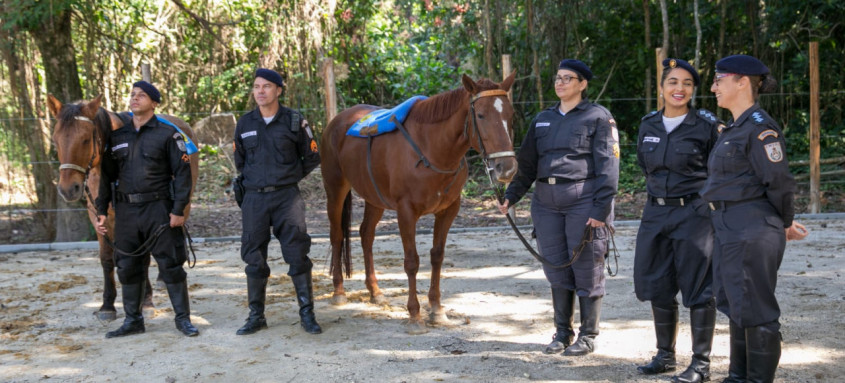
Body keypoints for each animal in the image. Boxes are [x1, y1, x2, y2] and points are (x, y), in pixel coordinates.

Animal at [49, 94, 199, 322]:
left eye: (85, 139)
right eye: (56, 139)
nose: (68, 189)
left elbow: (143, 258)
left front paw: (146, 302)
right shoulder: (98, 217)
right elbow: (106, 259)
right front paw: (107, 305)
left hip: (184, 204)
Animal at [322, 73, 516, 334]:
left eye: (510, 114)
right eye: (481, 115)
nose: (507, 168)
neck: (432, 149)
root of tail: (338, 121)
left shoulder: (448, 210)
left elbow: (437, 256)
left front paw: (437, 309)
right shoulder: (406, 212)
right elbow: (412, 262)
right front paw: (414, 314)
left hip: (375, 198)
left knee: (366, 235)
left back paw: (375, 291)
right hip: (335, 189)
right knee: (336, 235)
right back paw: (339, 291)